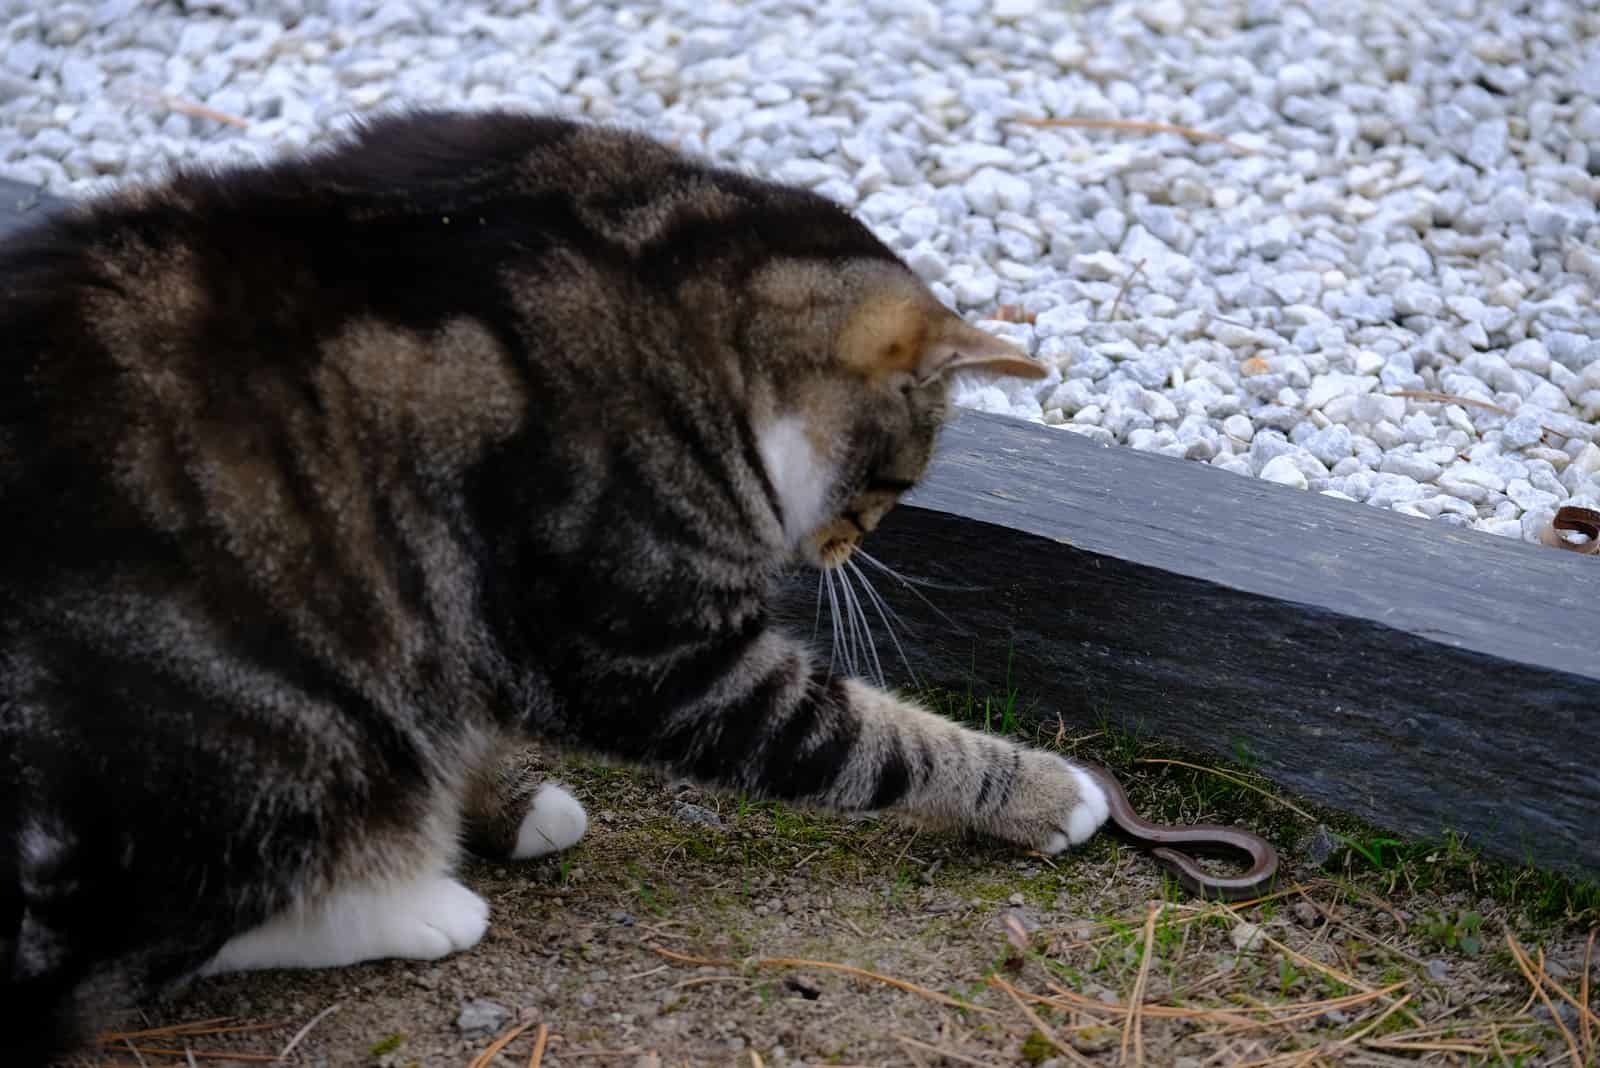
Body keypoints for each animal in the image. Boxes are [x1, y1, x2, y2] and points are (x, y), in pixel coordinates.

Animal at [0, 108, 1107, 1061]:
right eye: (894, 484)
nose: (848, 547)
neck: (666, 271)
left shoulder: (473, 618)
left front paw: (507, 802)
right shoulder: (650, 641)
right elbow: (879, 741)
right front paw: (1045, 793)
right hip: (253, 727)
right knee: (158, 939)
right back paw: (409, 903)